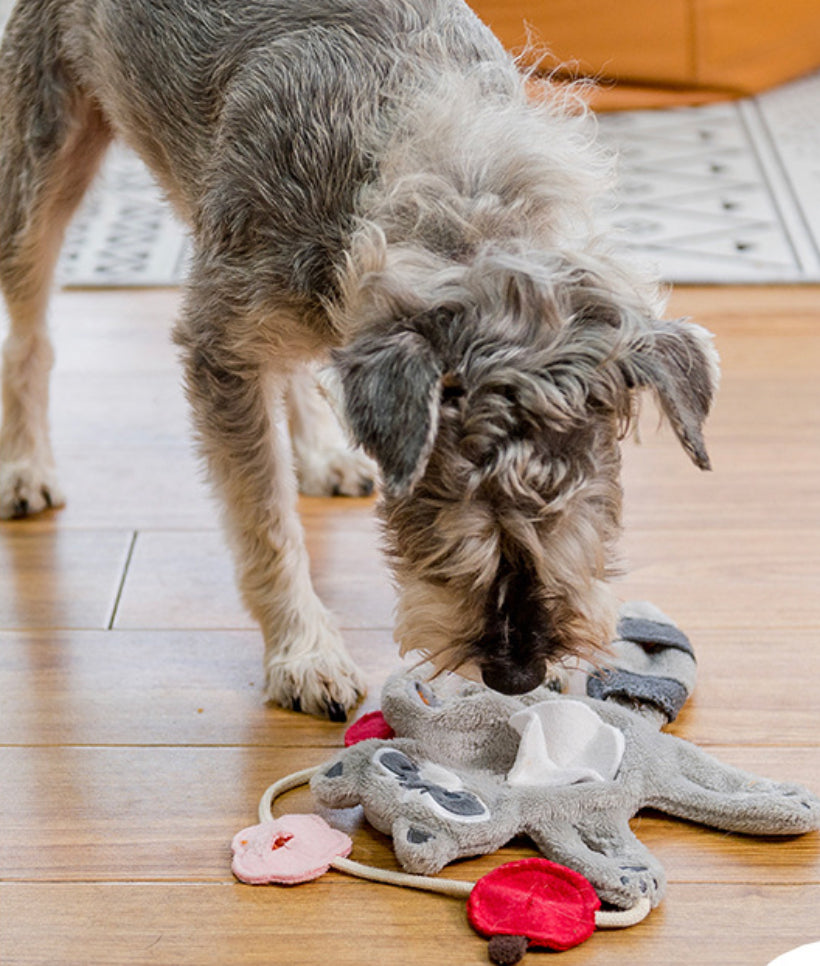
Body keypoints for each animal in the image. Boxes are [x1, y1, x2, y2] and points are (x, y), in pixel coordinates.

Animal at [0, 1, 716, 720]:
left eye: (579, 506)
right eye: (448, 506)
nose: (516, 674)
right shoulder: (220, 354)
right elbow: (265, 520)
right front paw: (304, 653)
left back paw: (322, 454)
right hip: (39, 177)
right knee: (31, 336)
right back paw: (26, 468)